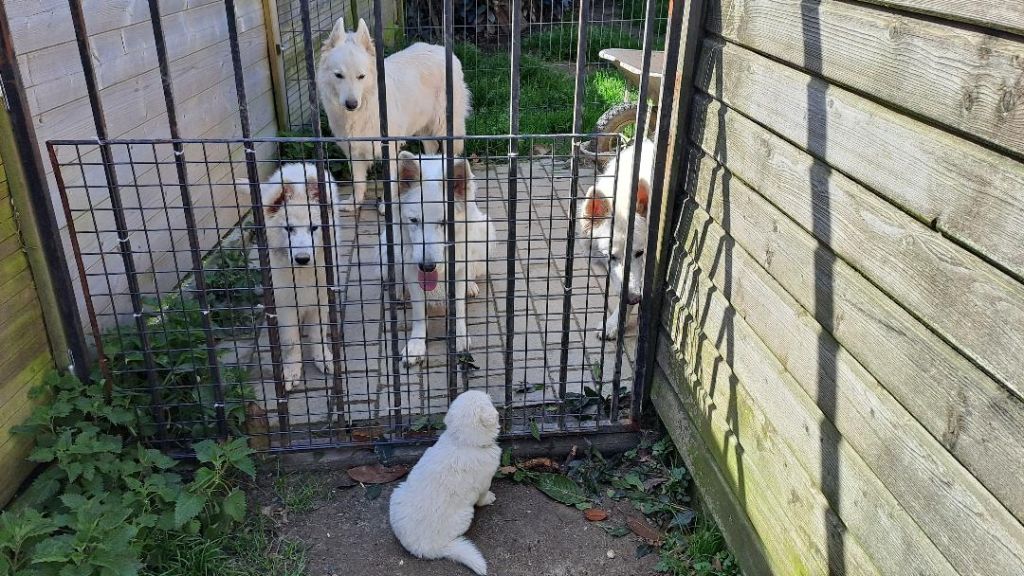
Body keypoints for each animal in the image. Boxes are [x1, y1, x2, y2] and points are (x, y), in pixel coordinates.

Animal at [258, 159, 342, 389]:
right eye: (289, 229)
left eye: (314, 228)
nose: (302, 258)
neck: (302, 274)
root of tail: (299, 163)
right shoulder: (284, 303)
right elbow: (291, 341)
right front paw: (292, 371)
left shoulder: (320, 299)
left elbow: (318, 333)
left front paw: (324, 359)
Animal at [315, 17, 471, 211]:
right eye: (338, 75)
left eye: (361, 76)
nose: (351, 104)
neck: (366, 106)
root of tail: (441, 49)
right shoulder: (353, 150)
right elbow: (357, 182)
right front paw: (354, 203)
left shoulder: (388, 149)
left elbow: (388, 181)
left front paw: (386, 206)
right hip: (423, 128)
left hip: (444, 127)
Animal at [382, 150, 497, 364]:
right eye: (414, 220)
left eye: (444, 222)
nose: (427, 267)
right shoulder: (412, 269)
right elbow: (419, 313)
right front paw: (416, 344)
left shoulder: (458, 268)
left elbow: (458, 307)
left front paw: (459, 337)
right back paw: (400, 290)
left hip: (484, 229)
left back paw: (470, 285)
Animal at [387, 387, 499, 569]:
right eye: (488, 400)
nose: (490, 394)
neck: (462, 442)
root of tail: (424, 549)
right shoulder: (484, 481)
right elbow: (483, 495)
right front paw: (489, 498)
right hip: (465, 514)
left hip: (397, 493)